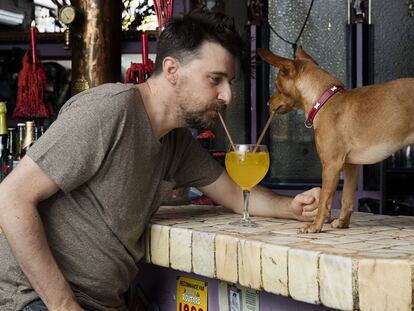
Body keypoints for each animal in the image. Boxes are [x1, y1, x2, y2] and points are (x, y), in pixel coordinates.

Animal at [258, 47, 414, 234]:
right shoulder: (351, 165)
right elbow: (347, 197)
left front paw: (315, 226)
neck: (325, 101)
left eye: (276, 85)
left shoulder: (331, 165)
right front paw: (342, 222)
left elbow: (324, 200)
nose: (268, 103)